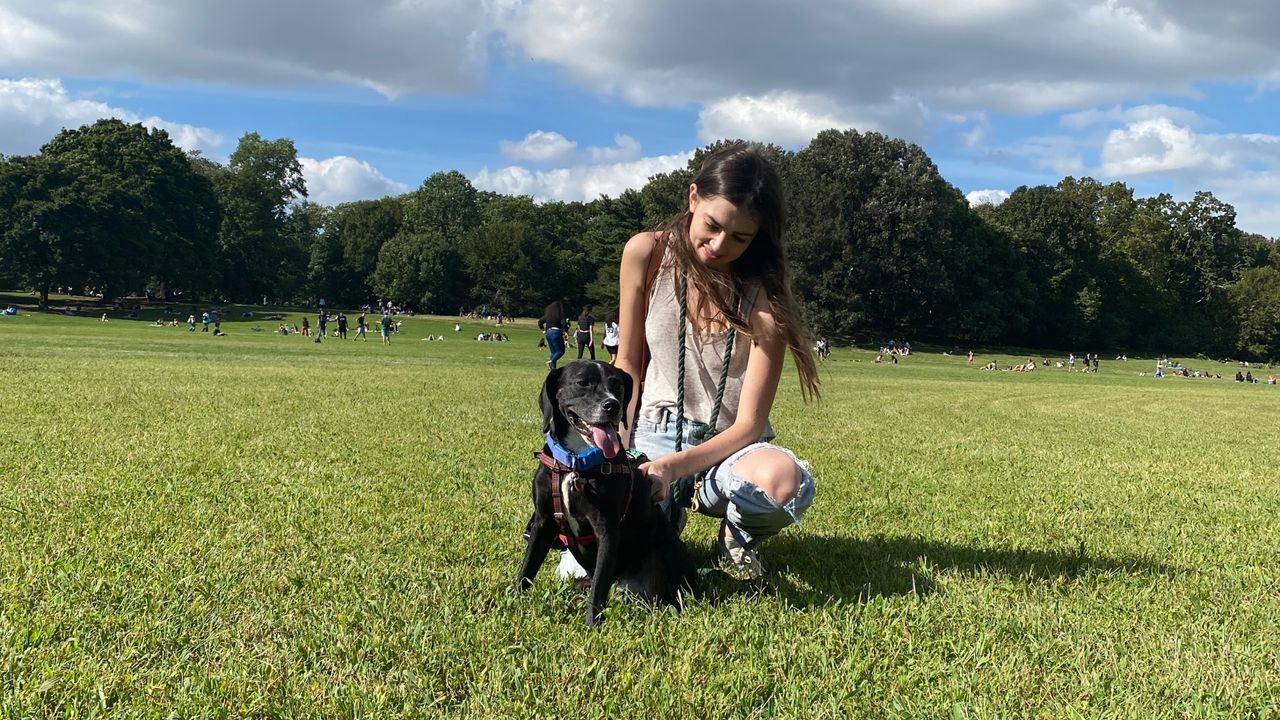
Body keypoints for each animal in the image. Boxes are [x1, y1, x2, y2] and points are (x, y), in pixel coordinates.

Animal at [517, 358, 701, 622]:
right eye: (582, 382)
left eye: (617, 386)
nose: (612, 405)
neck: (577, 463)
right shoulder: (544, 521)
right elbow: (528, 566)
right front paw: (511, 599)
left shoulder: (606, 528)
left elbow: (599, 586)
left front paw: (591, 623)